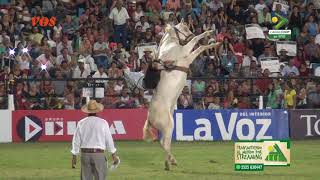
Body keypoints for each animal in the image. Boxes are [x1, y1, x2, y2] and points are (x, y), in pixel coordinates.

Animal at [141, 19, 221, 170]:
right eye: (186, 28)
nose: (190, 34)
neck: (169, 47)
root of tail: (149, 118)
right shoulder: (186, 55)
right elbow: (197, 45)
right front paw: (208, 35)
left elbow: (199, 47)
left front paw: (214, 42)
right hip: (168, 126)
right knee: (165, 144)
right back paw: (168, 164)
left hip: (166, 128)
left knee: (163, 142)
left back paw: (172, 160)